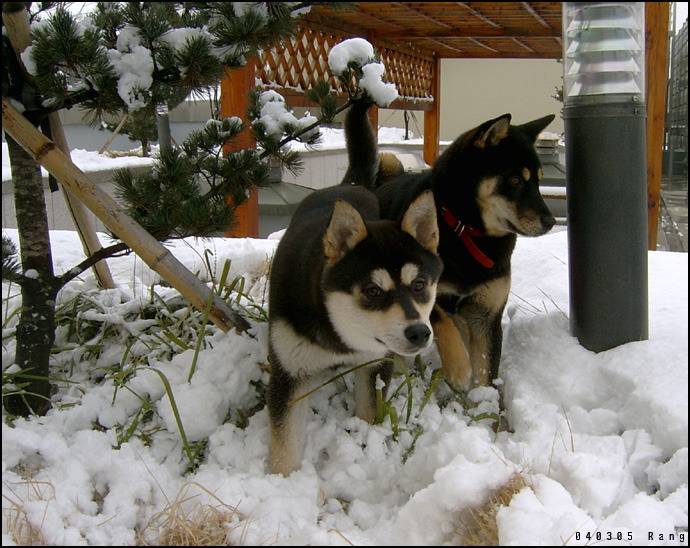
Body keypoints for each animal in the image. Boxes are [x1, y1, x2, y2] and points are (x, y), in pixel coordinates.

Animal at [266, 184, 438, 476]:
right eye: (373, 291)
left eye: (419, 284)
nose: (418, 333)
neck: (338, 334)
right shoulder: (288, 371)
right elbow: (284, 443)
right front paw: (282, 480)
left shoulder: (374, 362)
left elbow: (369, 413)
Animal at [342, 104, 552, 390]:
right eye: (516, 181)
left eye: (539, 181)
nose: (551, 221)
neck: (467, 231)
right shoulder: (429, 293)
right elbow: (443, 324)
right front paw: (459, 369)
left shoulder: (486, 316)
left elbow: (485, 369)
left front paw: (481, 399)